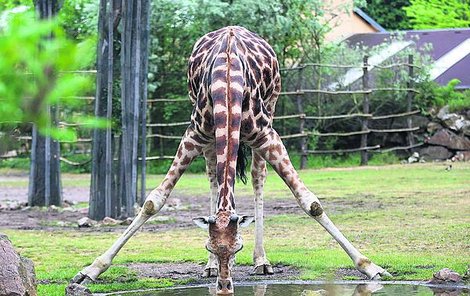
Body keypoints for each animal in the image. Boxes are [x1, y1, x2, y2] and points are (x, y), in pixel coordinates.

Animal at [71, 26, 392, 294]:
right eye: (209, 245)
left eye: (238, 247)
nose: (225, 287)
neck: (227, 86)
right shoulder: (194, 135)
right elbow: (153, 201)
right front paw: (89, 271)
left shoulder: (267, 135)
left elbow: (310, 202)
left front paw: (371, 267)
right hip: (209, 138)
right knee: (214, 176)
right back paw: (212, 267)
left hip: (271, 109)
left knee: (258, 176)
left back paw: (262, 261)